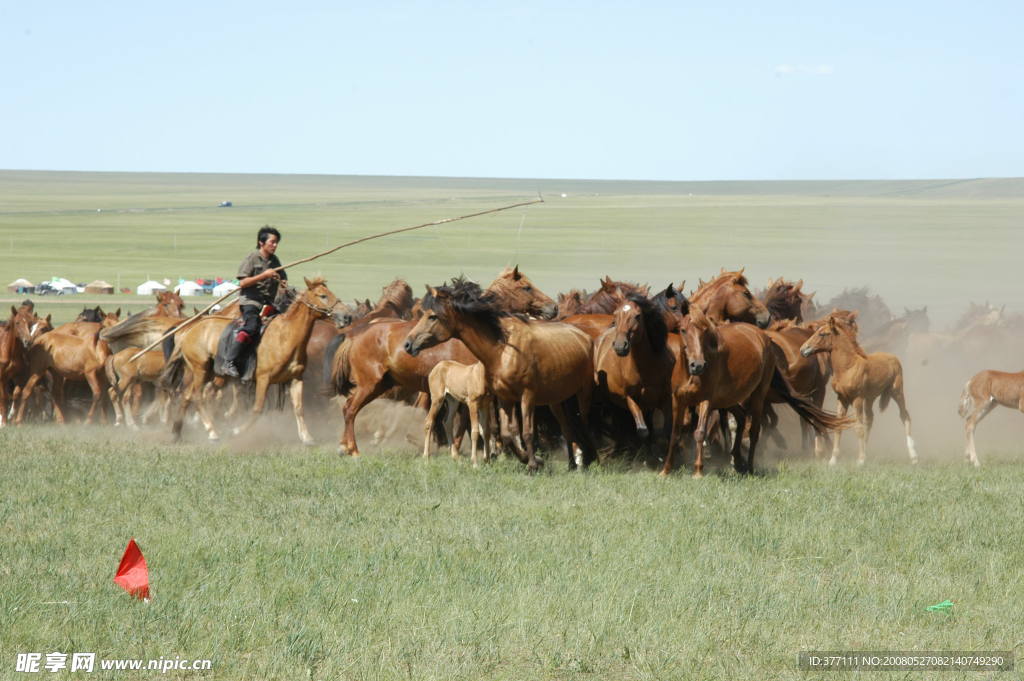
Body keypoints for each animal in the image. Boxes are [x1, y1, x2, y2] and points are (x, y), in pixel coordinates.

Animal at [403, 278, 598, 471]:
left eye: (432, 316)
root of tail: (584, 336)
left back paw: (590, 458)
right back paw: (572, 463)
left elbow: (527, 432)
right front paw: (527, 459)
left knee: (585, 423)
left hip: (583, 393)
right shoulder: (505, 398)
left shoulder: (527, 396)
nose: (407, 344)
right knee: (567, 428)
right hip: (556, 400)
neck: (503, 349)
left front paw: (533, 464)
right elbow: (506, 434)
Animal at [798, 311, 921, 462]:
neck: (847, 367)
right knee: (870, 419)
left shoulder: (857, 399)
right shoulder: (842, 398)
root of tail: (894, 357)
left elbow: (858, 427)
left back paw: (913, 456)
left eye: (822, 334)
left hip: (896, 392)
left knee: (905, 416)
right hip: (870, 398)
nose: (803, 349)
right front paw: (833, 460)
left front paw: (861, 460)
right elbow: (839, 425)